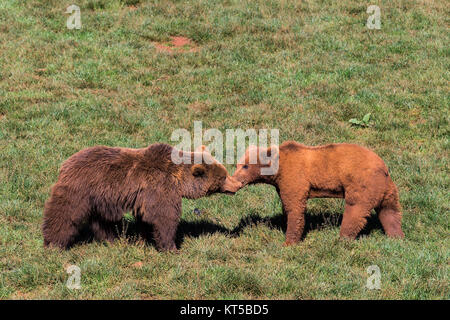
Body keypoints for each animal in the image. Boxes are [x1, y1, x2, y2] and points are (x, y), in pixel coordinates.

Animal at [42, 144, 243, 251]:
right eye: (223, 177)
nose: (238, 184)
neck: (178, 178)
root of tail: (66, 163)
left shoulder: (146, 196)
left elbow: (146, 219)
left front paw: (144, 239)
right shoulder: (160, 188)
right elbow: (163, 217)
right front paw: (171, 247)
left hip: (99, 198)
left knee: (101, 221)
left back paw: (112, 239)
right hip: (80, 190)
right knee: (64, 214)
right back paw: (53, 244)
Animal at [232, 141, 404, 246]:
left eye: (245, 166)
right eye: (238, 164)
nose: (234, 181)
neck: (277, 171)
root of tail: (383, 166)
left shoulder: (295, 177)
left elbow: (295, 208)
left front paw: (289, 241)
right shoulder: (281, 185)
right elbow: (287, 205)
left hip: (362, 183)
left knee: (355, 210)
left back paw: (342, 239)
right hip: (386, 188)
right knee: (390, 212)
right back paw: (396, 236)